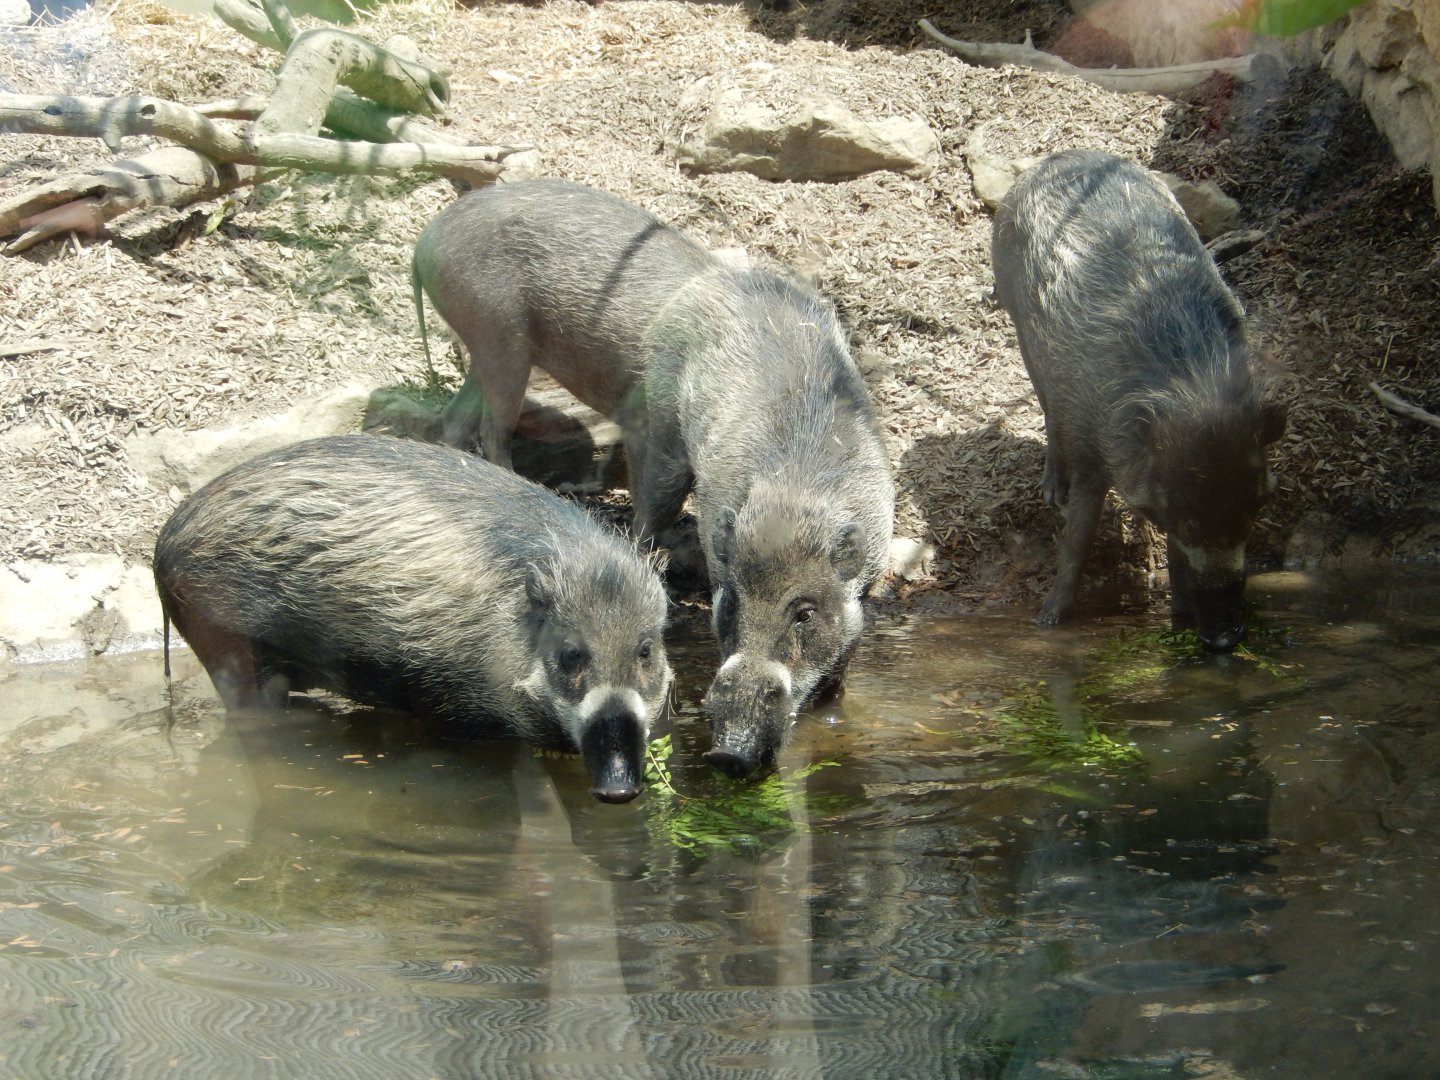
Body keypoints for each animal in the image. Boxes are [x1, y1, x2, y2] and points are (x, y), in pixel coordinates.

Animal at [153, 434, 671, 803]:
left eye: (646, 650)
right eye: (570, 653)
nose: (618, 790)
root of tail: (166, 540)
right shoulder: (445, 700)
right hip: (222, 641)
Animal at [411, 180, 894, 776]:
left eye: (805, 613)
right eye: (729, 601)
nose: (729, 753)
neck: (795, 494)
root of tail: (425, 242)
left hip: (498, 352)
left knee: (456, 422)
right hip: (508, 344)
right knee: (500, 434)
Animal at [991, 149, 1286, 651]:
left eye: (1252, 511)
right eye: (1189, 521)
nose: (1224, 639)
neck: (1191, 385)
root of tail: (1052, 158)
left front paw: (1180, 618)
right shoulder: (1093, 446)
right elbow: (1078, 537)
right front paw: (1047, 622)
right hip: (1016, 317)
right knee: (1046, 407)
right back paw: (1051, 493)